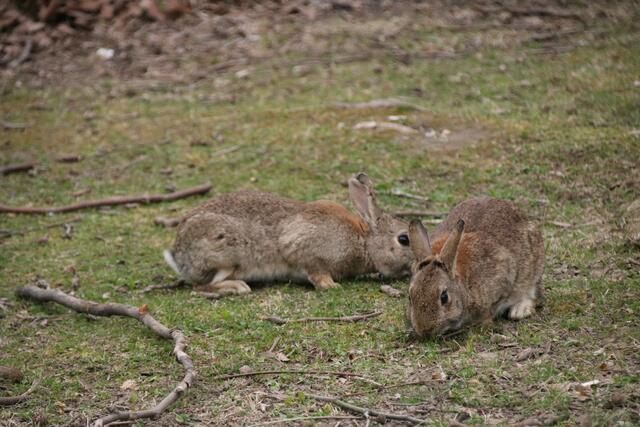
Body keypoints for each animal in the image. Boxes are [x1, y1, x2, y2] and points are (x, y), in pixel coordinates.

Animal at [163, 173, 414, 298]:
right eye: (404, 239)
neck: (364, 242)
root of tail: (179, 256)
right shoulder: (304, 249)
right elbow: (315, 271)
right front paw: (331, 286)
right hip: (225, 255)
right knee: (201, 286)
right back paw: (237, 287)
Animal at [406, 197, 544, 338]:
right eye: (410, 296)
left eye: (444, 297)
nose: (425, 331)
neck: (465, 285)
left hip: (533, 270)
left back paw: (519, 311)